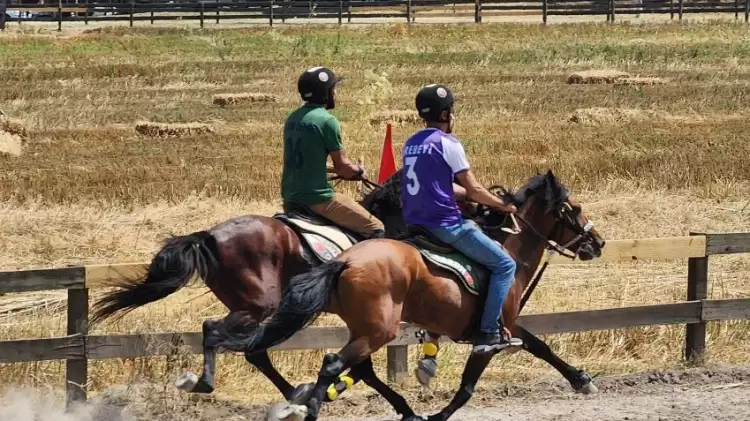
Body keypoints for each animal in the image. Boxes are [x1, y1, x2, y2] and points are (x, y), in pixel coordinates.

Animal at [209, 171, 608, 420]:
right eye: (574, 209)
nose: (598, 242)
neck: (507, 249)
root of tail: (346, 259)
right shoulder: (491, 338)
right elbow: (466, 388)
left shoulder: (507, 327)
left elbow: (541, 346)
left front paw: (581, 379)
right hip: (376, 329)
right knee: (333, 363)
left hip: (363, 327)